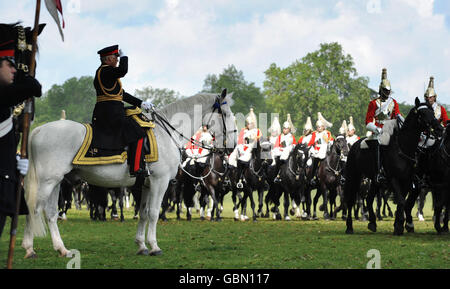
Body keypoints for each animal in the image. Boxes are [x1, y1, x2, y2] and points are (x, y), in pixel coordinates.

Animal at [22, 90, 237, 256]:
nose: (232, 147)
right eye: (226, 114)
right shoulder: (159, 182)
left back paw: (62, 249)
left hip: (56, 182)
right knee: (33, 209)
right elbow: (153, 213)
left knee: (50, 213)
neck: (166, 134)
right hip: (47, 182)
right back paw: (29, 248)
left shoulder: (147, 185)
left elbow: (143, 213)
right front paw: (154, 246)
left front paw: (142, 245)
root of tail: (38, 131)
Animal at [346, 98, 442, 235]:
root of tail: (354, 145)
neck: (403, 147)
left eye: (433, 112)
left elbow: (403, 202)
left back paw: (372, 223)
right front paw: (400, 225)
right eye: (422, 114)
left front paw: (399, 224)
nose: (439, 129)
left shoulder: (407, 181)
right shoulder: (394, 179)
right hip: (353, 176)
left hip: (375, 181)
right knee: (350, 200)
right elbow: (401, 201)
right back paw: (349, 227)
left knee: (369, 199)